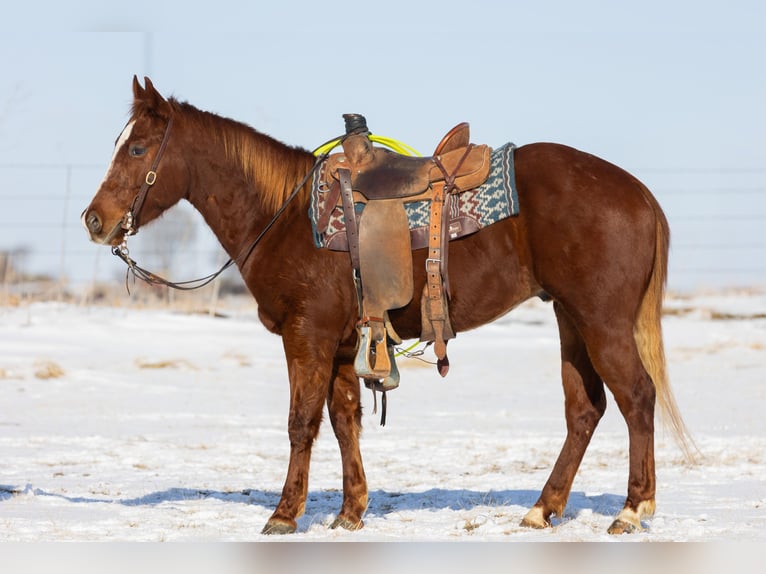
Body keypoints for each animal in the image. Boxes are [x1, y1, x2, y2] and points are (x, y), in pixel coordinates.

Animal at [82, 76, 693, 535]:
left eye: (137, 148)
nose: (95, 220)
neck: (287, 216)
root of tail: (638, 193)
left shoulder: (306, 337)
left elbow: (301, 422)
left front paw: (284, 515)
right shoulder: (340, 345)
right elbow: (343, 420)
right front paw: (351, 511)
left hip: (601, 321)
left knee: (637, 397)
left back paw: (632, 510)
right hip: (570, 319)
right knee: (585, 410)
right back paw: (543, 509)